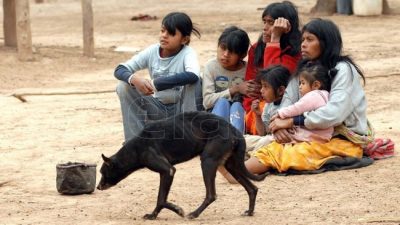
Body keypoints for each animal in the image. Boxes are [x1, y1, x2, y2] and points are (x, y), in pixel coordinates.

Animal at [96, 111, 266, 220]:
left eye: (103, 172)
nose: (98, 187)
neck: (136, 148)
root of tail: (235, 130)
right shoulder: (166, 172)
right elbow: (161, 198)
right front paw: (156, 215)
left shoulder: (168, 171)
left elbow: (161, 199)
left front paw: (173, 211)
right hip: (232, 166)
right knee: (252, 189)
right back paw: (250, 212)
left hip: (208, 162)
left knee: (211, 195)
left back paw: (194, 214)